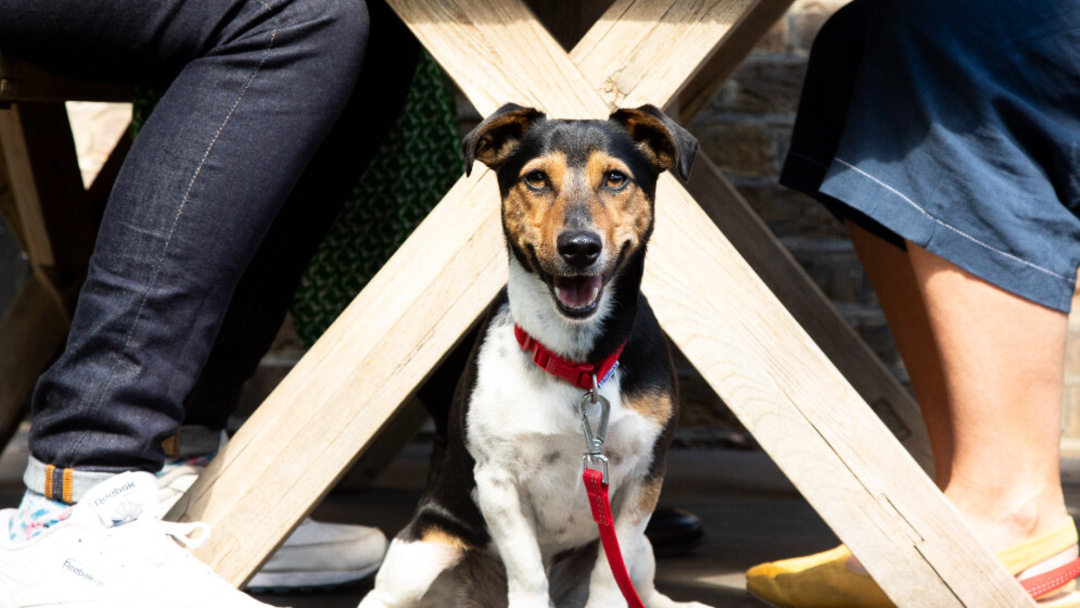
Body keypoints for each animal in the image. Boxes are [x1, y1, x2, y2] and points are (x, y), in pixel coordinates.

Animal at [360, 104, 708, 608]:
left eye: (616, 178)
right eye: (537, 179)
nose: (579, 247)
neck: (579, 363)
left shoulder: (644, 475)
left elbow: (611, 576)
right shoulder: (497, 481)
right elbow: (526, 575)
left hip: (644, 552)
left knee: (642, 589)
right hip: (420, 554)